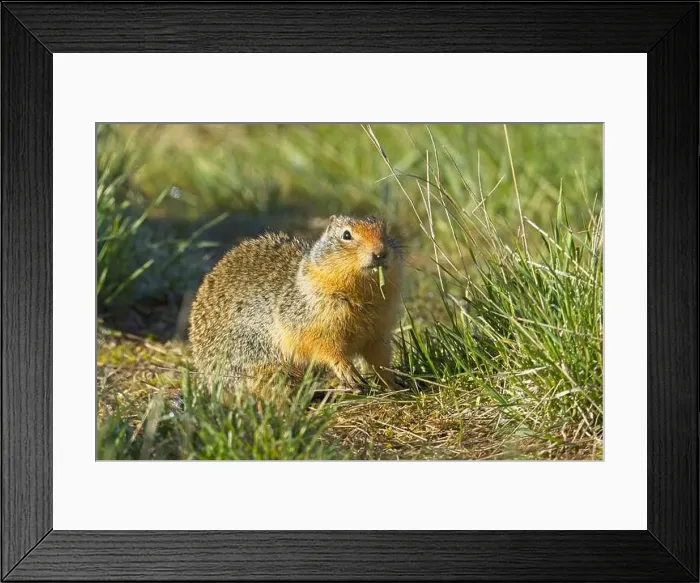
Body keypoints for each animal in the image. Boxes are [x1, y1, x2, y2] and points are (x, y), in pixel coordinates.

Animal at [188, 215, 404, 392]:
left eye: (386, 231)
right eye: (346, 235)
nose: (380, 253)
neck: (362, 294)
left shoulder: (379, 331)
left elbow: (380, 358)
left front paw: (393, 383)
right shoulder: (312, 320)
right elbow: (324, 346)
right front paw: (347, 371)